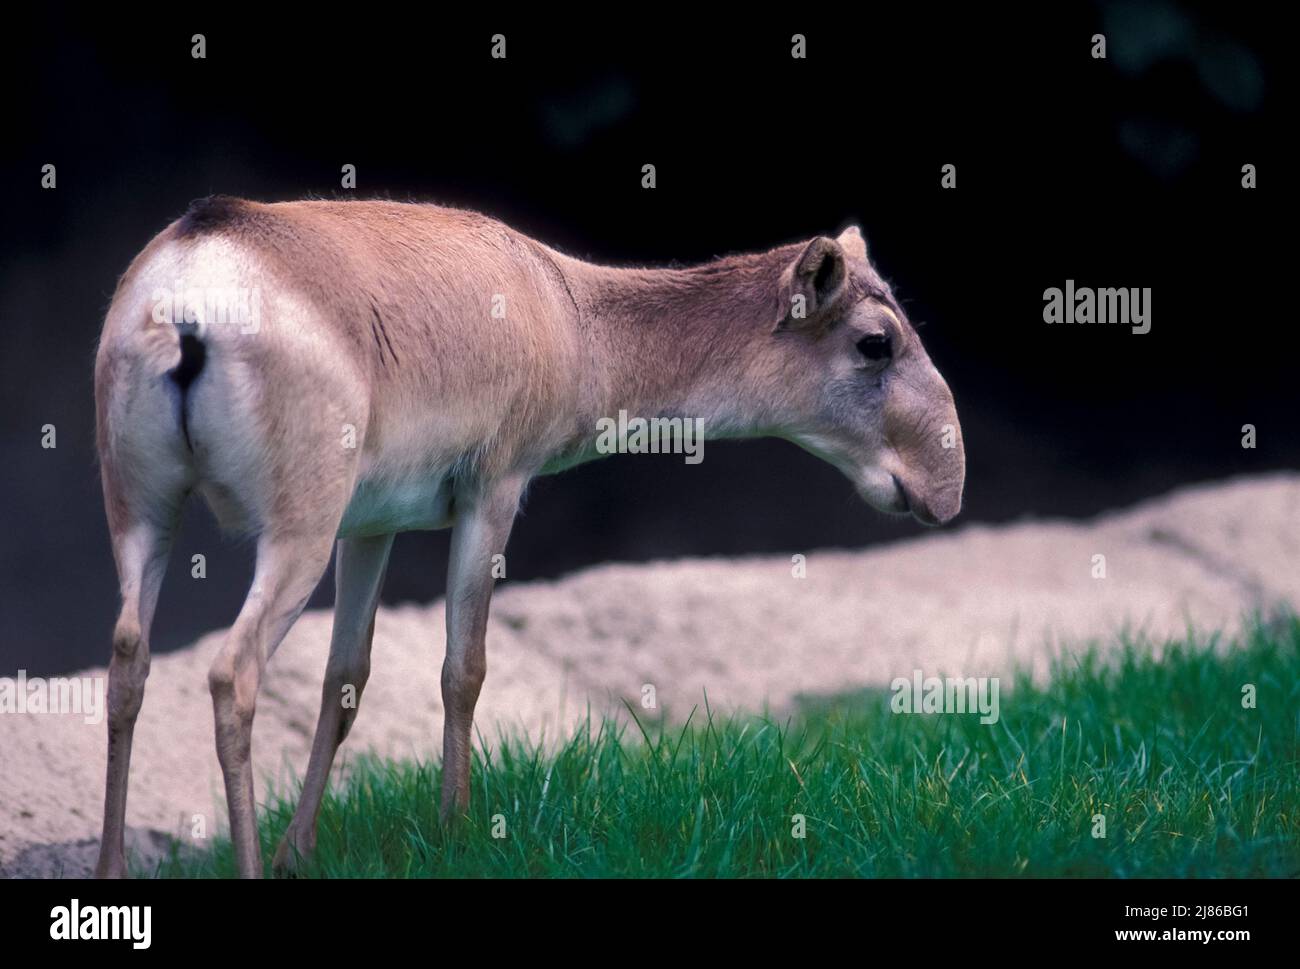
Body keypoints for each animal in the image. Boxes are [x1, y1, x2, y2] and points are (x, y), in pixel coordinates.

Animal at [93, 198, 965, 878]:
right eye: (877, 340)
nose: (947, 485)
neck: (574, 314)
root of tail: (189, 287)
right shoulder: (496, 487)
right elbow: (463, 668)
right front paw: (456, 830)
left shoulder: (371, 523)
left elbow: (346, 678)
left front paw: (297, 854)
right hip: (293, 531)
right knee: (230, 671)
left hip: (144, 513)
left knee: (129, 659)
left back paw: (111, 868)